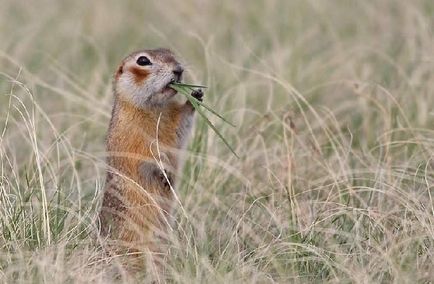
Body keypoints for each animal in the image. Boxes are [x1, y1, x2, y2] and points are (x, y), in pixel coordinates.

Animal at [99, 47, 203, 274]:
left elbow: (181, 125)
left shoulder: (172, 119)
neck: (156, 107)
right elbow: (146, 154)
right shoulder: (134, 134)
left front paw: (195, 96)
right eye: (143, 61)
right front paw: (164, 171)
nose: (179, 69)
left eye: (171, 52)